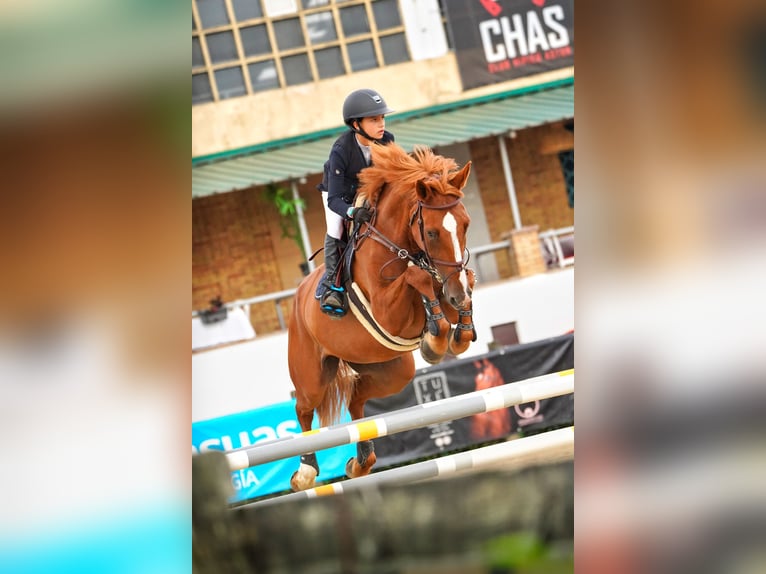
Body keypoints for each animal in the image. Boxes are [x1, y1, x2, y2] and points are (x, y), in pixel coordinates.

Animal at [288, 143, 476, 490]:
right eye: (431, 232)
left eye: (465, 225)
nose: (458, 296)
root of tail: (299, 296)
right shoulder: (387, 311)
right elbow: (417, 277)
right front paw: (436, 339)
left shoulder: (447, 281)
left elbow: (458, 282)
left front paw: (455, 335)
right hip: (311, 376)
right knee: (303, 408)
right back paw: (306, 471)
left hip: (391, 370)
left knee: (356, 399)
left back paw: (362, 461)